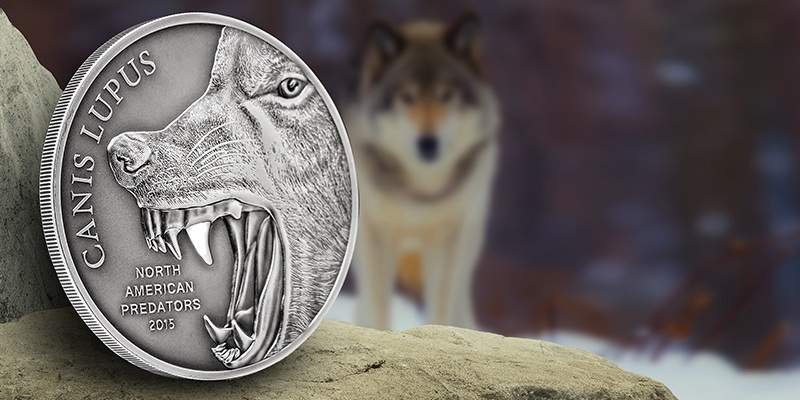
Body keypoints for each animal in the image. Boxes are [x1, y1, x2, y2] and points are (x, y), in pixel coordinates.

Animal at [346, 13, 500, 329]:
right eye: (407, 97)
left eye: (447, 95)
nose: (428, 142)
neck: (418, 196)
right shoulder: (374, 239)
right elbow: (378, 309)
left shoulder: (447, 243)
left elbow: (440, 310)